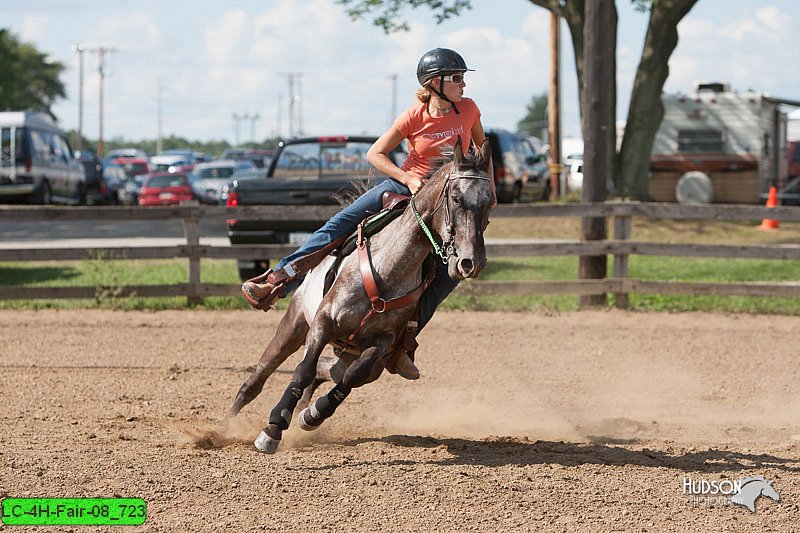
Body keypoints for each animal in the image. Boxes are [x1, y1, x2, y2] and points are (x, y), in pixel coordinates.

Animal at [222, 137, 490, 454]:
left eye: (491, 201)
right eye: (457, 198)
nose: (471, 262)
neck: (388, 270)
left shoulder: (383, 343)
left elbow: (351, 378)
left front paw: (313, 414)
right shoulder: (323, 321)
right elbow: (302, 370)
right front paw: (273, 428)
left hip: (358, 355)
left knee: (330, 370)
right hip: (295, 323)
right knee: (258, 378)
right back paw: (221, 428)